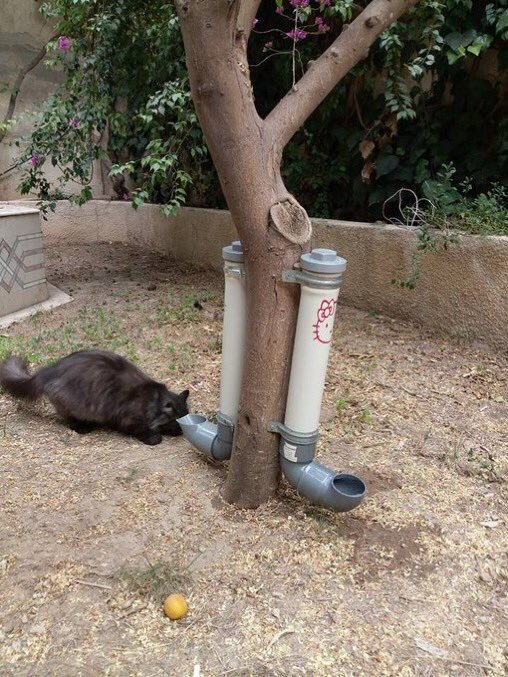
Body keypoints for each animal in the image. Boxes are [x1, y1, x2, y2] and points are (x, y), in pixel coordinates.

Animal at [0, 348, 190, 444]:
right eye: (176, 421)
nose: (181, 431)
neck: (151, 400)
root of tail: (49, 370)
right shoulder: (128, 419)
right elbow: (142, 430)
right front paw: (154, 437)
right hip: (72, 404)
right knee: (69, 420)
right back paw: (83, 427)